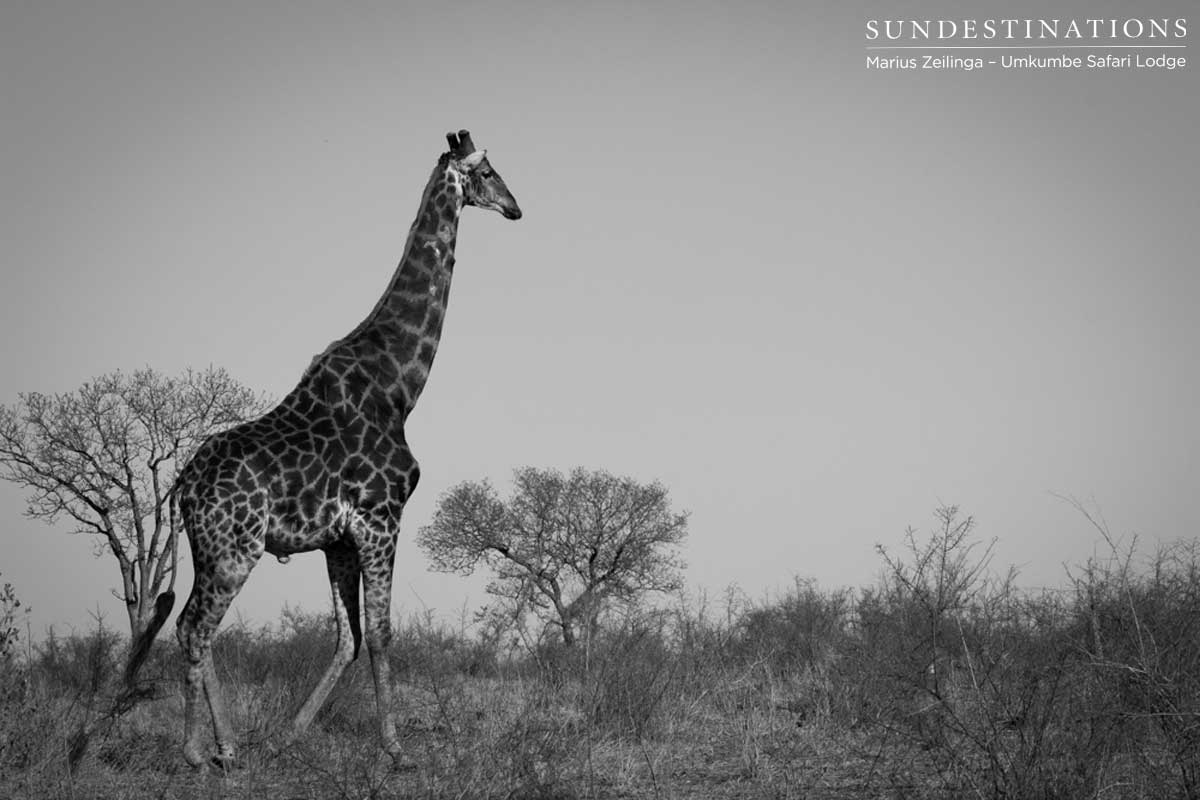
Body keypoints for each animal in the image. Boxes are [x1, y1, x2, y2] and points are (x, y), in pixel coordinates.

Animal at [146, 130, 520, 768]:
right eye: (489, 171)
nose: (516, 208)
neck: (400, 385)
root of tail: (182, 488)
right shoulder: (380, 518)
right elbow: (383, 632)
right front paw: (396, 750)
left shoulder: (337, 539)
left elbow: (350, 636)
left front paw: (290, 734)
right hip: (234, 548)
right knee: (196, 626)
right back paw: (198, 752)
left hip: (209, 549)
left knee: (196, 627)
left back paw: (228, 745)